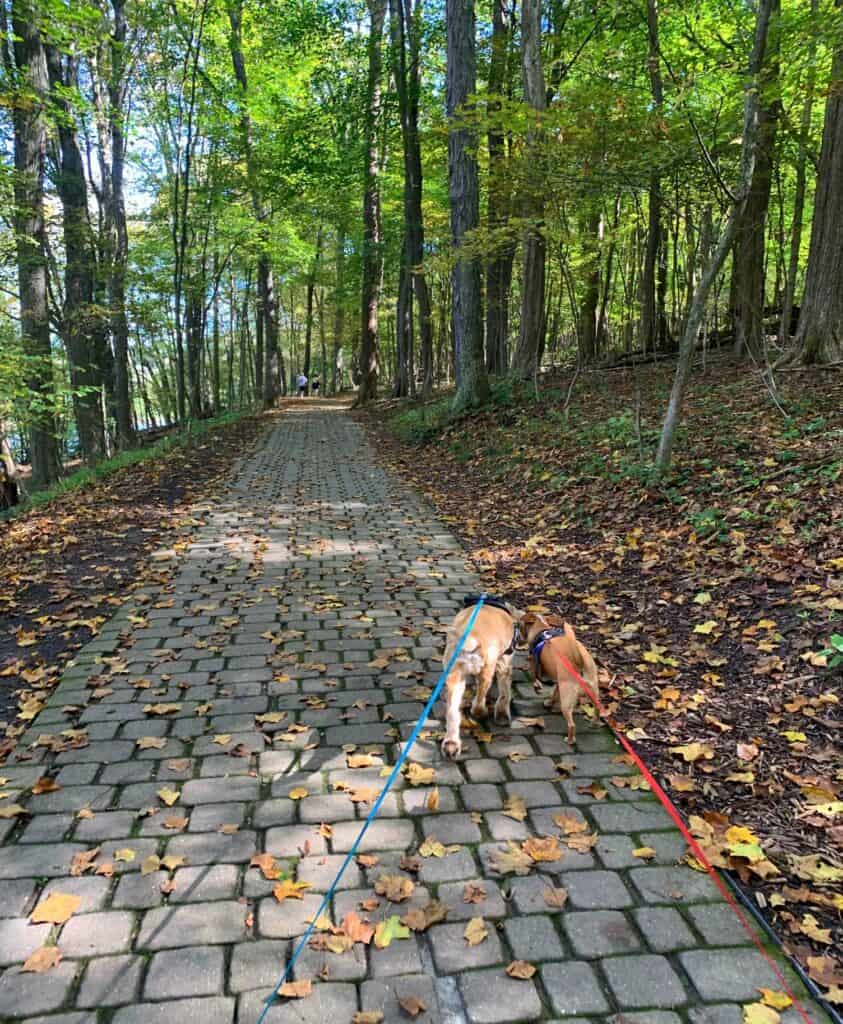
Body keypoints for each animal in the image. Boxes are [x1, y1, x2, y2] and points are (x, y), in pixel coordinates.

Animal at [442, 598, 520, 761]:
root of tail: (469, 638)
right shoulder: (504, 665)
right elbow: (505, 694)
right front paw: (502, 714)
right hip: (487, 672)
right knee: (478, 705)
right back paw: (481, 711)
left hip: (455, 679)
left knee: (452, 713)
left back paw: (451, 744)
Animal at [520, 610, 598, 749]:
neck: (543, 629)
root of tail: (577, 659)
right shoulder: (558, 680)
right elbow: (555, 693)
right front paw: (549, 702)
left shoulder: (534, 664)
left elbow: (535, 678)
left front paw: (538, 688)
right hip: (593, 689)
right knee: (598, 708)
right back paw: (594, 723)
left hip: (566, 700)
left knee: (571, 724)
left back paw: (570, 740)